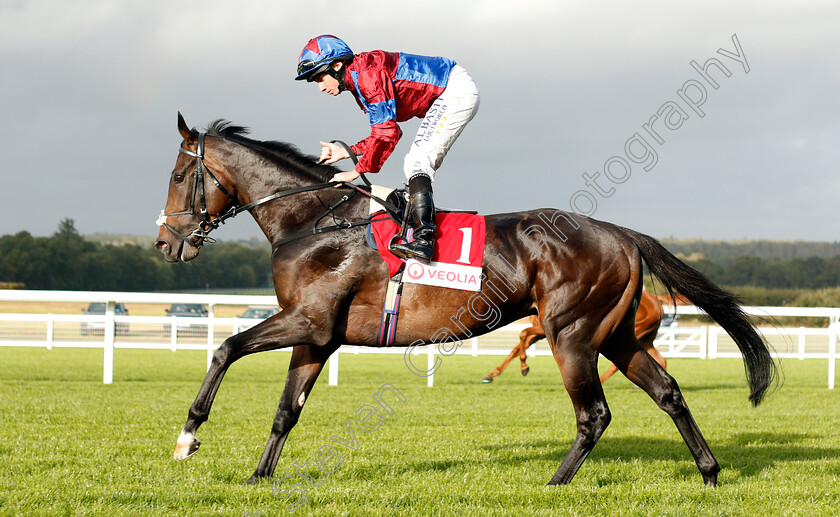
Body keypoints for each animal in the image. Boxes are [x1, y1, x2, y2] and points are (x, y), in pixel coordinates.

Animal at [482, 290, 668, 382]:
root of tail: (656, 300)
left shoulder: (544, 330)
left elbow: (522, 334)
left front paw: (524, 366)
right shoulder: (541, 332)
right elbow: (518, 346)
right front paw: (492, 375)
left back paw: (601, 380)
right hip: (646, 338)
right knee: (661, 359)